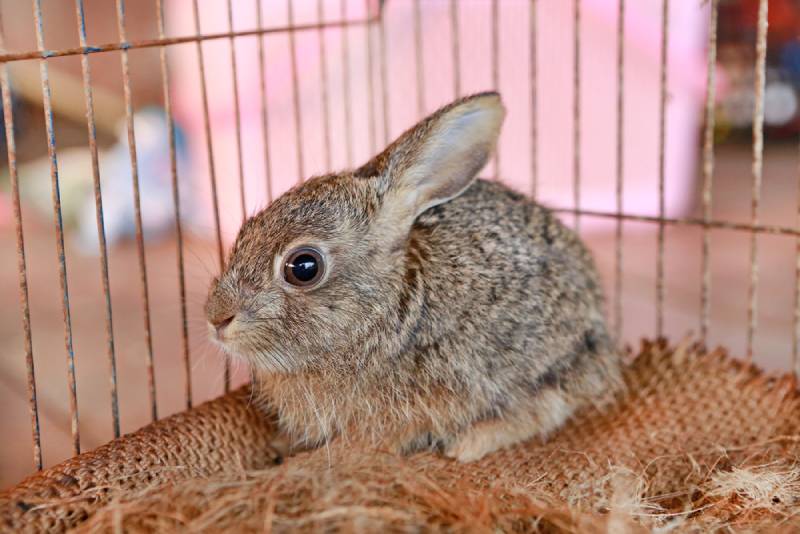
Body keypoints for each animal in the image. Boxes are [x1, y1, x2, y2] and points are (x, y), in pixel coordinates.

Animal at [205, 92, 622, 462]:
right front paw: (280, 446)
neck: (387, 308)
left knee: (544, 409)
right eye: (244, 231)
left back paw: (468, 445)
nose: (215, 318)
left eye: (304, 267)